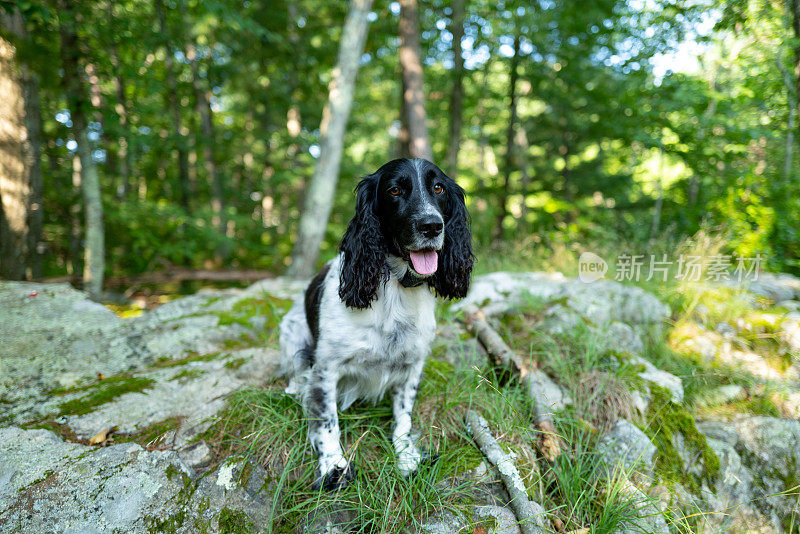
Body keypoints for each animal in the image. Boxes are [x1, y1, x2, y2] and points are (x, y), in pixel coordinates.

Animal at [278, 157, 472, 492]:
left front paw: (407, 456)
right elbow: (327, 422)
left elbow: (403, 417)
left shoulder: (412, 366)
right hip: (291, 331)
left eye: (438, 188)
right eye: (394, 190)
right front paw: (334, 466)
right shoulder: (325, 369)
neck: (397, 287)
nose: (432, 225)